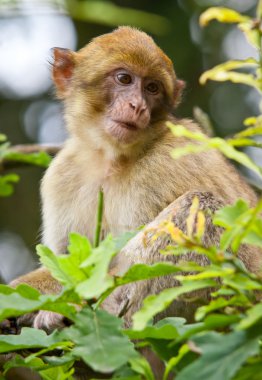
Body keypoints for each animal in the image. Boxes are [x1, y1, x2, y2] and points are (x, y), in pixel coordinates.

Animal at [5, 26, 260, 340]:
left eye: (152, 88)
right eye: (124, 79)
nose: (137, 106)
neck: (112, 159)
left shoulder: (162, 168)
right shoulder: (61, 175)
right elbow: (68, 260)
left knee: (200, 205)